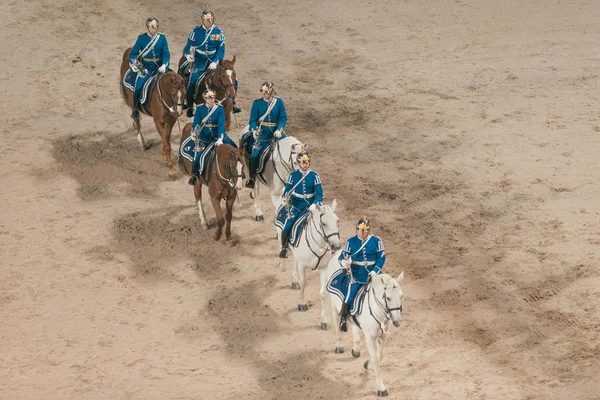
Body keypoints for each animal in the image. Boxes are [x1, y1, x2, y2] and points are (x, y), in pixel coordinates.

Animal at [120, 47, 186, 177]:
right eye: (173, 92)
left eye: (184, 92)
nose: (179, 112)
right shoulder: (158, 122)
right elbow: (166, 144)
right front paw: (171, 169)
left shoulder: (170, 121)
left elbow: (166, 139)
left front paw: (164, 156)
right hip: (133, 106)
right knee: (137, 121)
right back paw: (143, 144)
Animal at [326, 250, 406, 396]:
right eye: (388, 298)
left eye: (401, 296)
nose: (397, 321)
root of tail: (338, 252)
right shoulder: (370, 337)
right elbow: (376, 359)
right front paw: (381, 387)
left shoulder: (383, 336)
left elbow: (380, 356)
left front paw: (367, 364)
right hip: (335, 305)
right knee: (337, 324)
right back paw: (339, 345)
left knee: (353, 325)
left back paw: (356, 349)